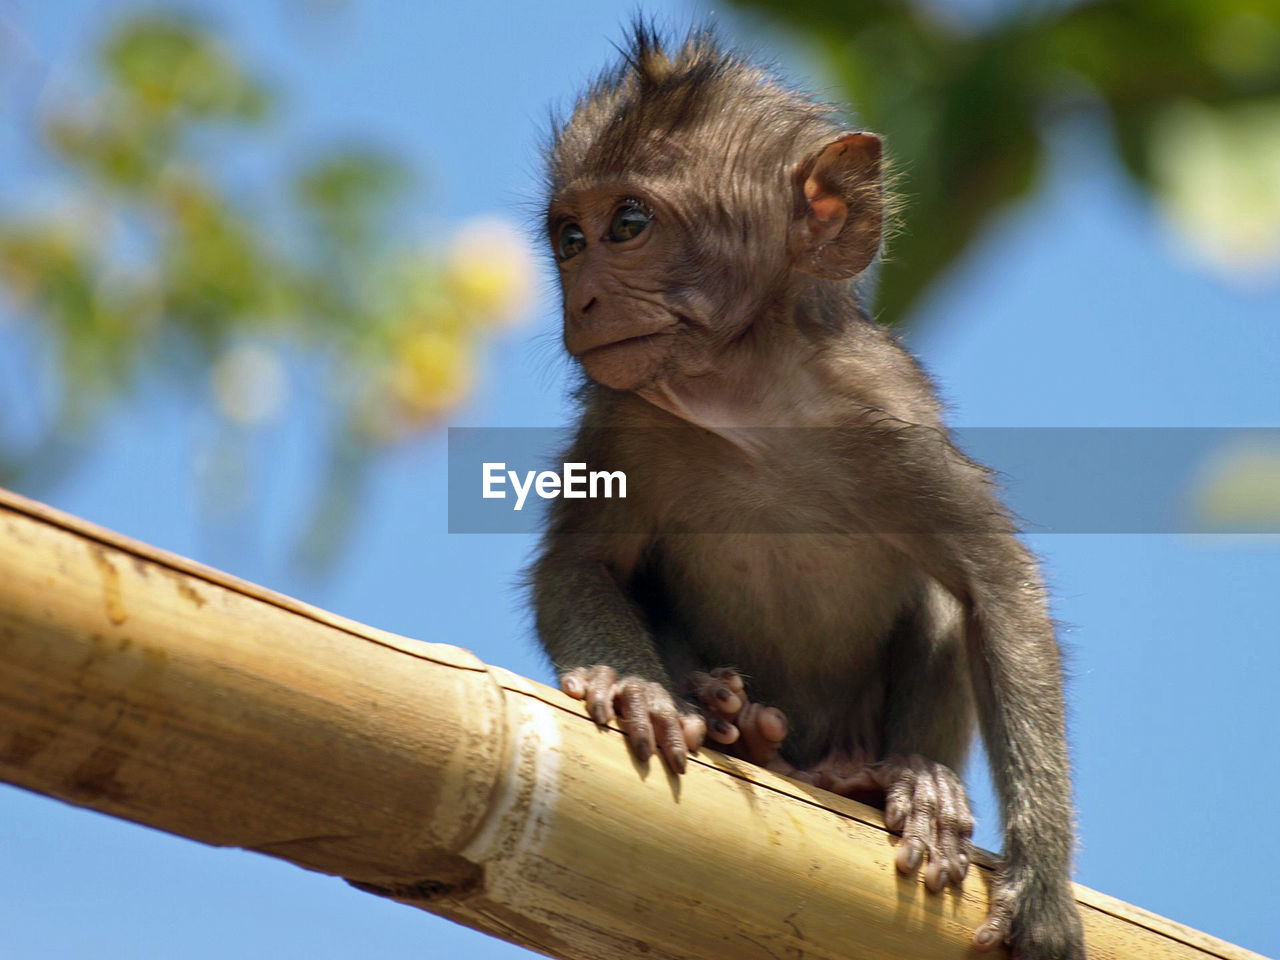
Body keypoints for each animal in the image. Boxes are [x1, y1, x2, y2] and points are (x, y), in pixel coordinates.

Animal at [535, 24, 1085, 960]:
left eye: (628, 224)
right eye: (570, 239)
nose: (585, 298)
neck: (746, 395)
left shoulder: (886, 414)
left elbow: (995, 581)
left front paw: (1041, 884)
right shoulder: (626, 422)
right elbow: (580, 567)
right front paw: (637, 689)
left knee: (942, 602)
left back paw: (896, 780)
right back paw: (736, 718)